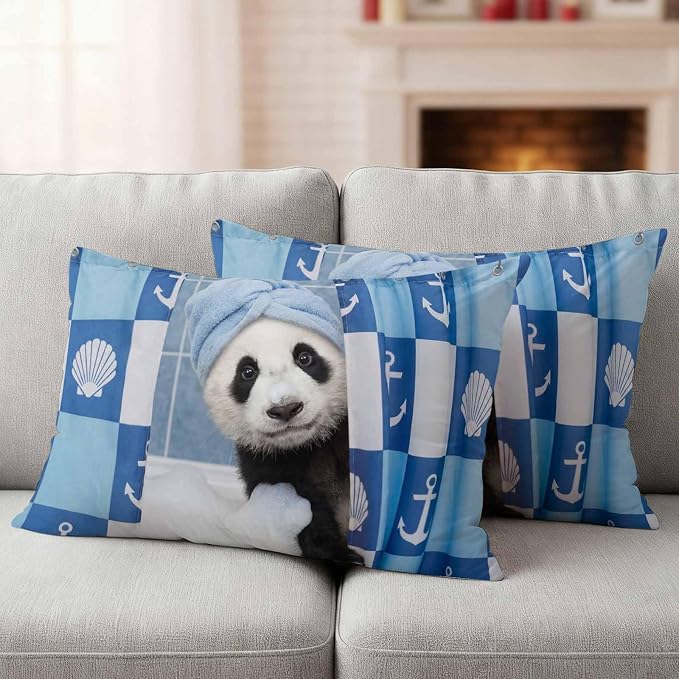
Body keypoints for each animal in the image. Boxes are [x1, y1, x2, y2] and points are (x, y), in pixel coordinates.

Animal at [202, 315, 363, 564]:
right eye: (247, 371)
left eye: (305, 357)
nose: (285, 408)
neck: (308, 444)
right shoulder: (265, 463)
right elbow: (304, 513)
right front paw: (340, 554)